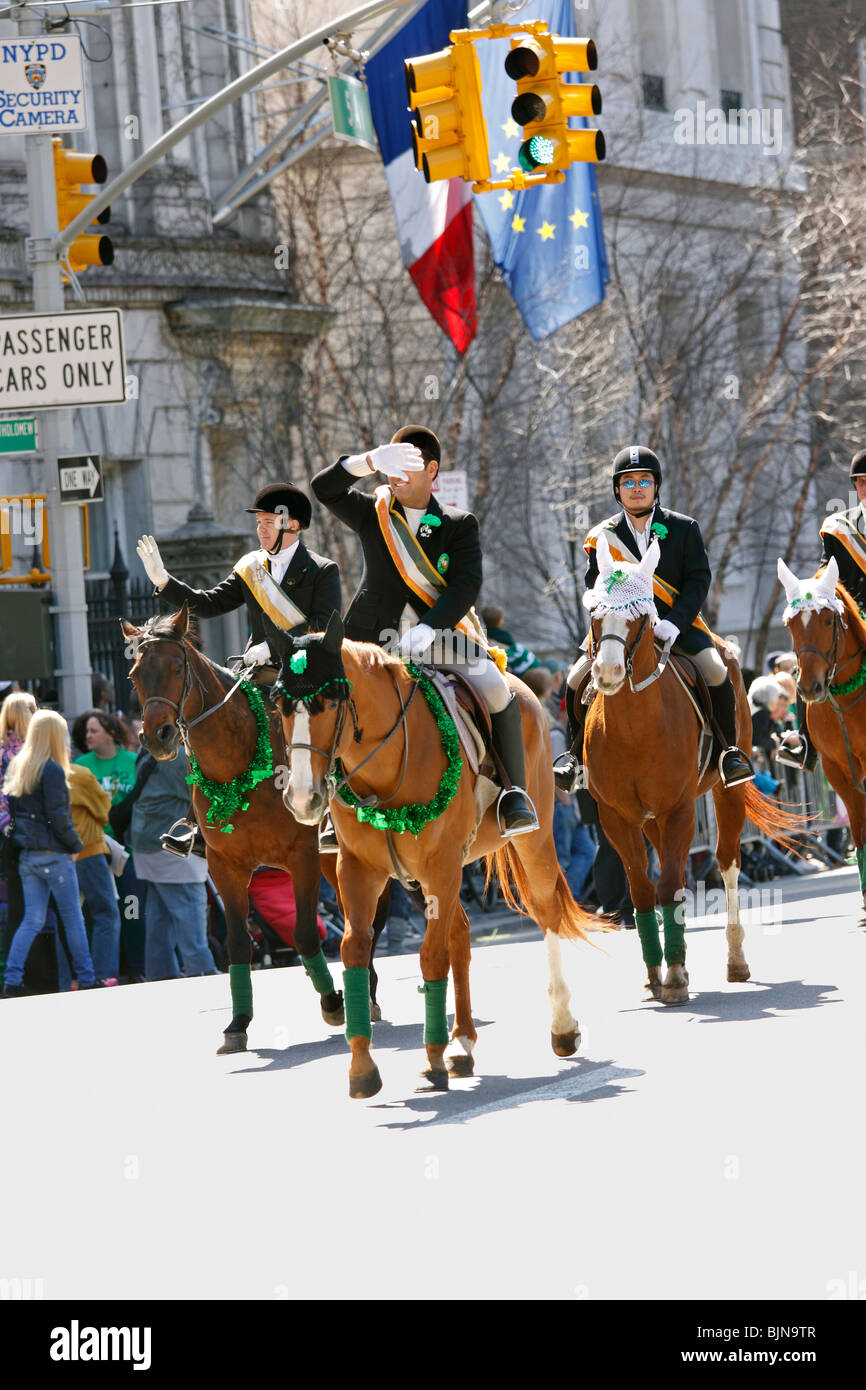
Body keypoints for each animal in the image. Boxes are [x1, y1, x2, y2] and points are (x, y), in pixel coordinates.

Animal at [122, 606, 389, 1050]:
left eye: (177, 667)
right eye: (134, 675)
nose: (157, 737)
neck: (238, 759)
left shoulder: (301, 856)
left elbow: (304, 934)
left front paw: (333, 1003)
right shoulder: (224, 866)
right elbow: (237, 942)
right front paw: (238, 1023)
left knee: (366, 920)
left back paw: (363, 997)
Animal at [268, 608, 600, 1095]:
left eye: (330, 700)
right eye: (281, 704)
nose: (302, 798)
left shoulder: (440, 865)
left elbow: (431, 956)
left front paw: (432, 1059)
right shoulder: (358, 871)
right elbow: (354, 951)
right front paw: (363, 1067)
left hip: (528, 845)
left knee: (546, 915)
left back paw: (561, 1027)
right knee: (461, 933)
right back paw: (462, 1042)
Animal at [583, 528, 806, 1000]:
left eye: (641, 617)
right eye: (595, 613)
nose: (607, 673)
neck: (632, 726)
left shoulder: (680, 808)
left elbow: (669, 885)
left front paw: (674, 977)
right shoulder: (617, 817)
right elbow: (643, 890)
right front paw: (656, 972)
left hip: (723, 793)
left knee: (727, 863)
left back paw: (736, 960)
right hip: (653, 819)